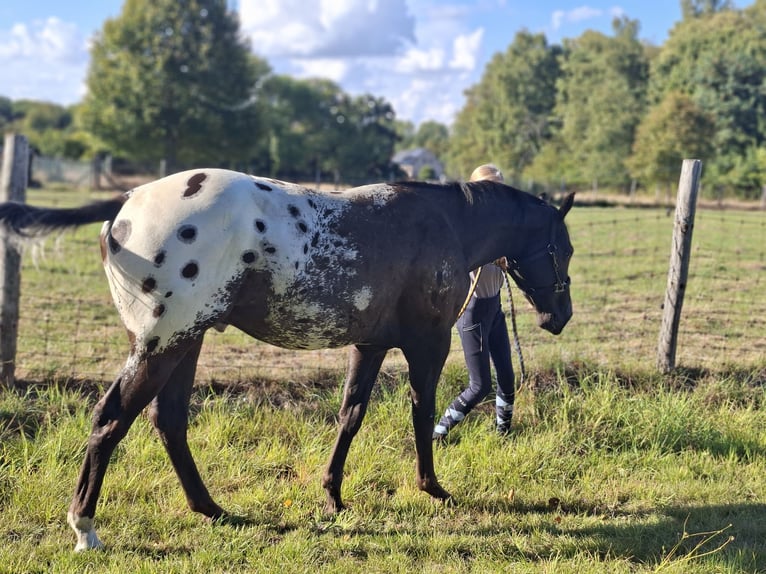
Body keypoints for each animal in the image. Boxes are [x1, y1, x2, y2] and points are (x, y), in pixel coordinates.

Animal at [0, 168, 575, 551]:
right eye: (562, 249)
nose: (559, 317)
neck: (445, 223)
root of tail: (127, 200)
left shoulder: (369, 346)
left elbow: (350, 416)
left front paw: (333, 496)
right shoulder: (427, 344)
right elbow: (420, 412)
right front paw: (431, 487)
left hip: (187, 340)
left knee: (169, 423)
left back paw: (213, 510)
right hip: (162, 345)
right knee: (111, 420)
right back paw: (85, 528)